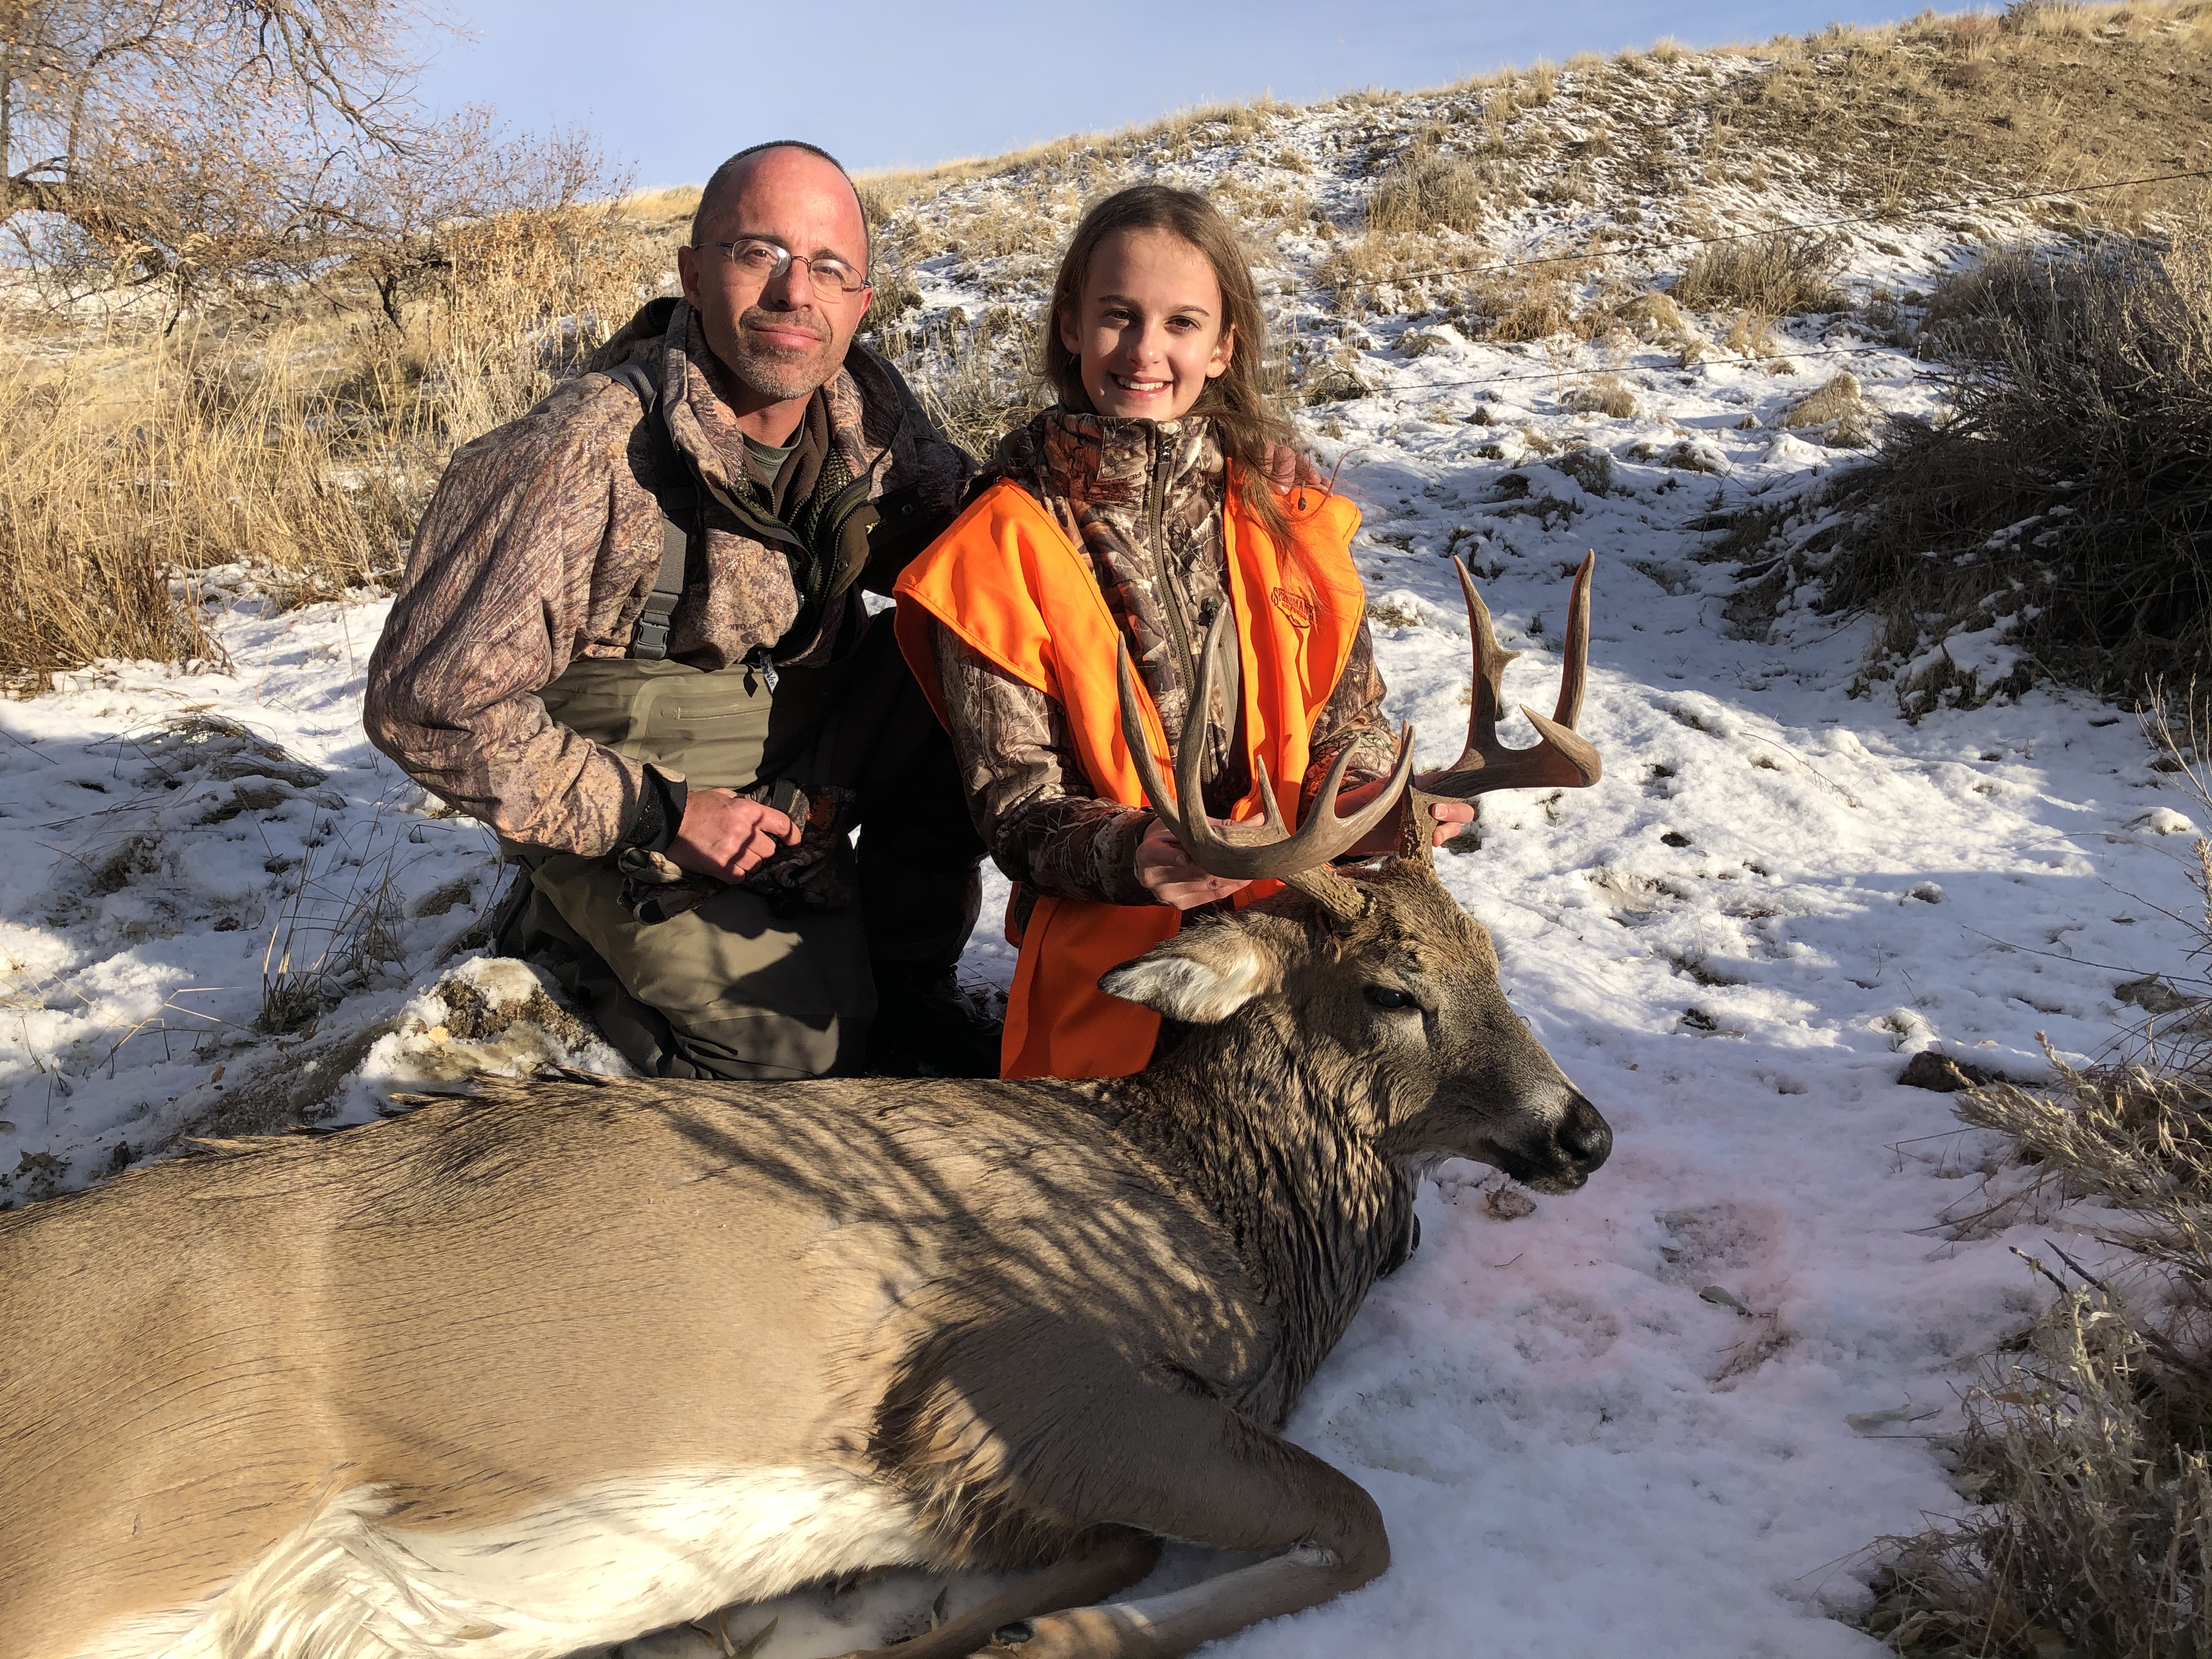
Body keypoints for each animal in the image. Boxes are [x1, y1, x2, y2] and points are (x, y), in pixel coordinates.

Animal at [0, 558, 1611, 1659]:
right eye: (1393, 989)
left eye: (1491, 953)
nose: (1581, 1133)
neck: (1218, 1214)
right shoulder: (1022, 1374)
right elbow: (1353, 1522)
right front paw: (1037, 1638)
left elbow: (1101, 1554)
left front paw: (953, 1631)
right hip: (101, 1521)